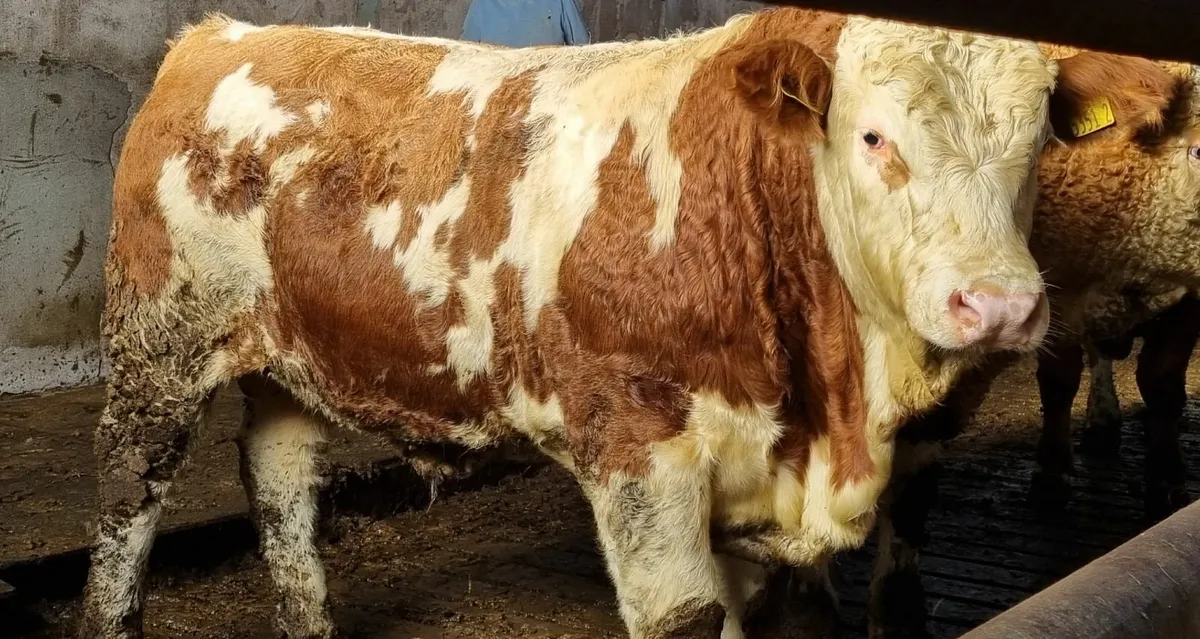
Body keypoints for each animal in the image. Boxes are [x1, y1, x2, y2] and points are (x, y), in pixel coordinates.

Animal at [80, 8, 1058, 639]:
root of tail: (217, 33)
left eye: (1039, 139)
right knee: (131, 487)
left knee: (278, 473)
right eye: (873, 136)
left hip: (297, 352)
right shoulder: (638, 449)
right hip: (159, 342)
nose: (1000, 304)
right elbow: (686, 616)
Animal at [864, 49, 1200, 638]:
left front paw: (1166, 484)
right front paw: (1051, 472)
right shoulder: (1060, 285)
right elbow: (1058, 382)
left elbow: (1162, 386)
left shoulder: (1187, 295)